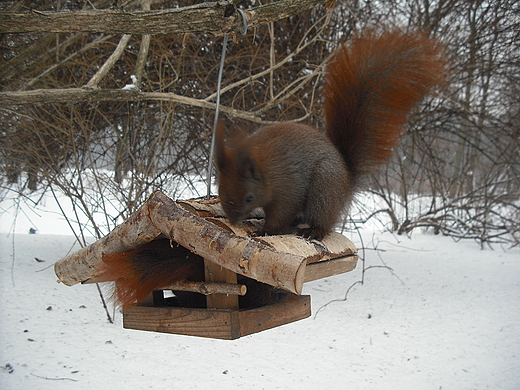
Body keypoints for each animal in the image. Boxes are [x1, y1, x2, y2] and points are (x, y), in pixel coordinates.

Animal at [215, 27, 446, 239]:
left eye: (249, 198)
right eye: (220, 188)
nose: (233, 219)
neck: (265, 169)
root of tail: (346, 181)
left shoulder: (288, 189)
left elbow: (281, 214)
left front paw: (265, 231)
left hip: (323, 189)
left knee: (323, 222)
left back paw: (313, 231)